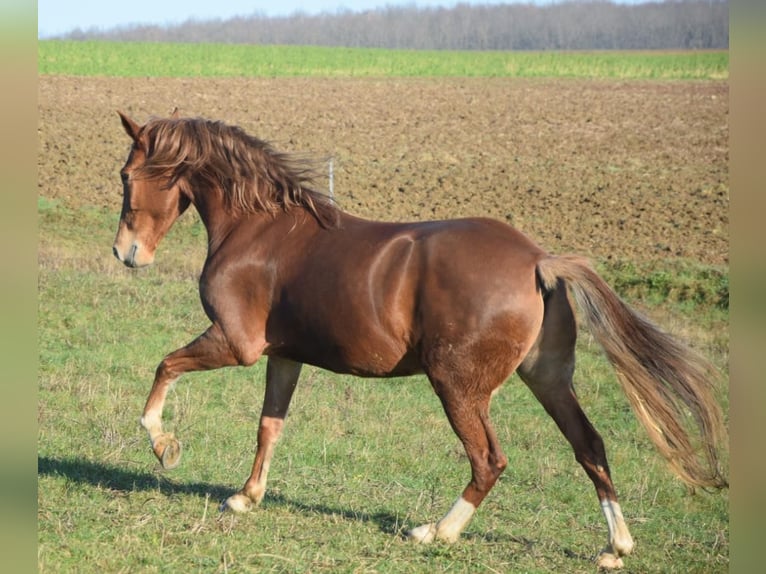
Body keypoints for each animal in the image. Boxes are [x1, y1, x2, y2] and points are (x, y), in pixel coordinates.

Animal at [112, 112, 728, 572]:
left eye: (125, 174)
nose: (126, 254)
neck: (260, 227)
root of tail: (539, 259)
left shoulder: (235, 344)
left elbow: (165, 367)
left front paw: (164, 446)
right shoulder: (283, 357)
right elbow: (270, 426)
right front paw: (245, 496)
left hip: (457, 385)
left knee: (489, 460)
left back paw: (437, 531)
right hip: (548, 380)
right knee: (590, 446)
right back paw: (615, 547)